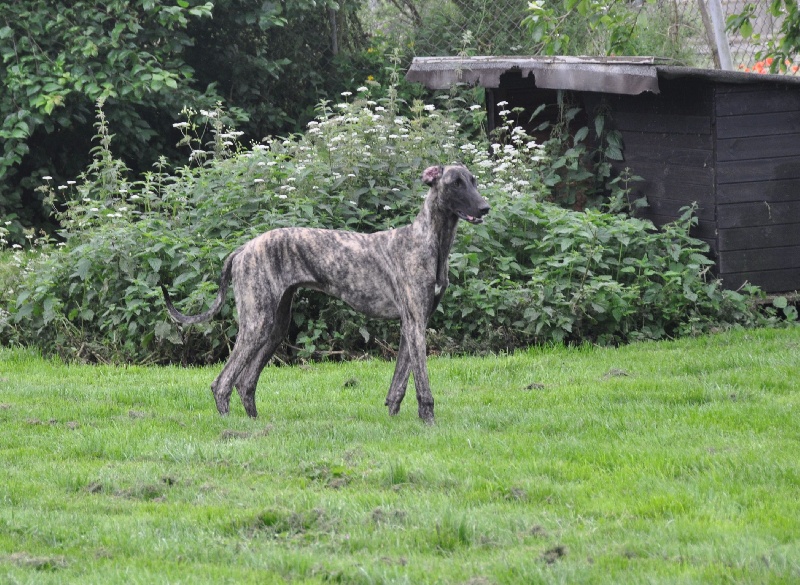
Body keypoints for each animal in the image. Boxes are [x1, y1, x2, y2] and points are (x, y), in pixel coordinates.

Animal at [161, 162, 488, 422]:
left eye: (473, 180)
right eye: (456, 183)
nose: (485, 208)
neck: (428, 240)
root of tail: (243, 248)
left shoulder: (412, 323)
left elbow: (400, 382)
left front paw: (394, 419)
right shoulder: (416, 323)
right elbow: (422, 385)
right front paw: (428, 422)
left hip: (276, 326)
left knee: (246, 382)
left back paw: (255, 423)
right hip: (256, 323)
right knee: (223, 382)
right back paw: (230, 426)